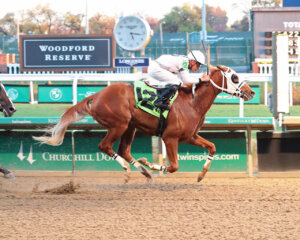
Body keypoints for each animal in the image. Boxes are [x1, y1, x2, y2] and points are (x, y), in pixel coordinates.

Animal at [33, 65, 253, 182]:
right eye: (235, 77)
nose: (251, 92)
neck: (192, 102)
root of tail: (96, 95)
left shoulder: (190, 136)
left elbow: (213, 147)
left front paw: (201, 174)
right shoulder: (170, 137)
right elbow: (174, 166)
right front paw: (152, 164)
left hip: (130, 126)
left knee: (123, 150)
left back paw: (143, 171)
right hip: (119, 124)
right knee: (105, 146)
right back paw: (130, 169)